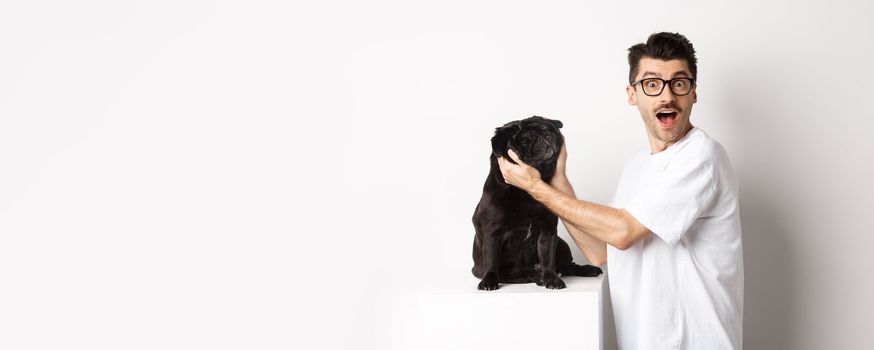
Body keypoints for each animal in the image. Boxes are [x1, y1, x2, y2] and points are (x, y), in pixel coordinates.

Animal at [470, 115, 600, 290]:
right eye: (524, 140)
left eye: (549, 129)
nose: (544, 135)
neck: (525, 193)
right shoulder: (493, 234)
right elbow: (492, 260)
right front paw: (489, 281)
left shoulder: (548, 231)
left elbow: (547, 258)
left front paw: (551, 279)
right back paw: (536, 275)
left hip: (561, 244)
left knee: (567, 267)